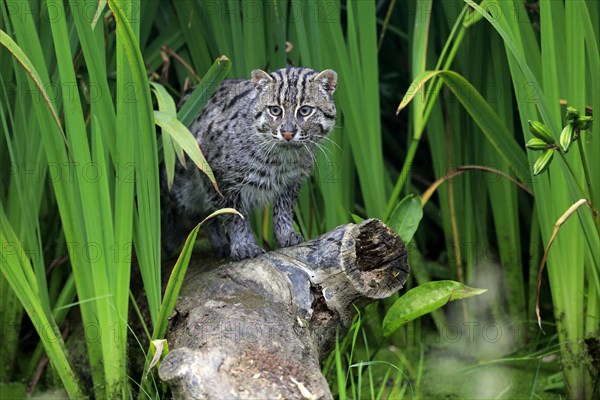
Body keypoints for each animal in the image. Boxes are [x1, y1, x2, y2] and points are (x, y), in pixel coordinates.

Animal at [159, 66, 338, 260]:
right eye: (275, 110)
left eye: (305, 111)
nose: (287, 133)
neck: (282, 157)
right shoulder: (216, 176)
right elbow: (234, 215)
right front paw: (244, 245)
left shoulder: (291, 182)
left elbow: (284, 209)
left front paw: (286, 234)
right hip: (181, 186)